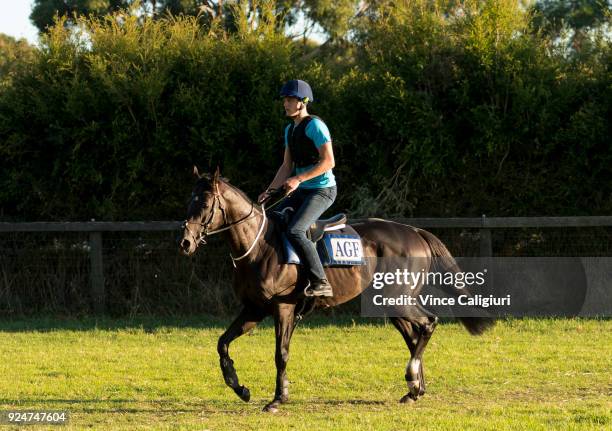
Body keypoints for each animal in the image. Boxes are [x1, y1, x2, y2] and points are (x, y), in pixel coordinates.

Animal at [179, 167, 494, 414]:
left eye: (205, 203)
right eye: (189, 201)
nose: (186, 242)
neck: (258, 246)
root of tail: (414, 232)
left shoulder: (283, 308)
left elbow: (281, 353)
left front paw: (278, 398)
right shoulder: (254, 309)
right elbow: (222, 343)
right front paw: (239, 387)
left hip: (396, 299)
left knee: (428, 322)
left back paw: (412, 376)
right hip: (388, 302)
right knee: (413, 334)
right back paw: (415, 389)